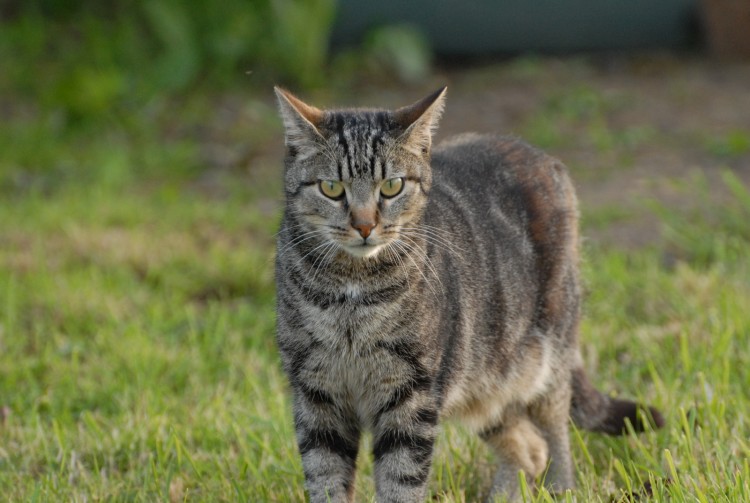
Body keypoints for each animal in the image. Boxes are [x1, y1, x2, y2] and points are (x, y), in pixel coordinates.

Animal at [274, 87, 664, 503]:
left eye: (392, 186)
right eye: (332, 188)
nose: (365, 226)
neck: (350, 294)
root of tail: (530, 150)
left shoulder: (412, 396)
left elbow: (400, 481)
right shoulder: (316, 396)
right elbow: (325, 478)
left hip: (547, 355)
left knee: (555, 432)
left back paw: (563, 487)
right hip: (485, 377)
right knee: (528, 448)